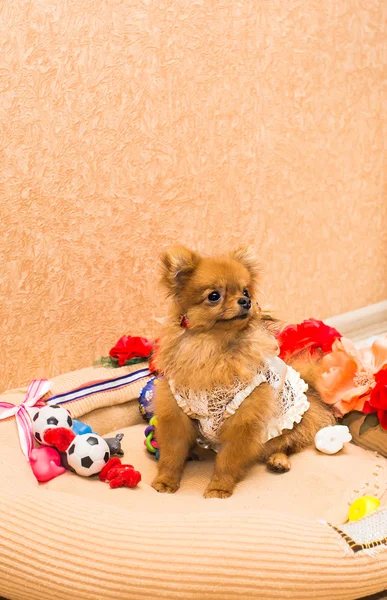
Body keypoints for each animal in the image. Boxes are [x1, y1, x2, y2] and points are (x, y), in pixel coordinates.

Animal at [152, 244, 336, 496]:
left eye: (246, 292)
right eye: (214, 296)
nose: (245, 301)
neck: (212, 348)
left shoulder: (243, 420)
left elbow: (228, 460)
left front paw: (219, 488)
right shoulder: (176, 412)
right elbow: (172, 453)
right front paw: (166, 480)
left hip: (289, 424)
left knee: (286, 444)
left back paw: (278, 460)